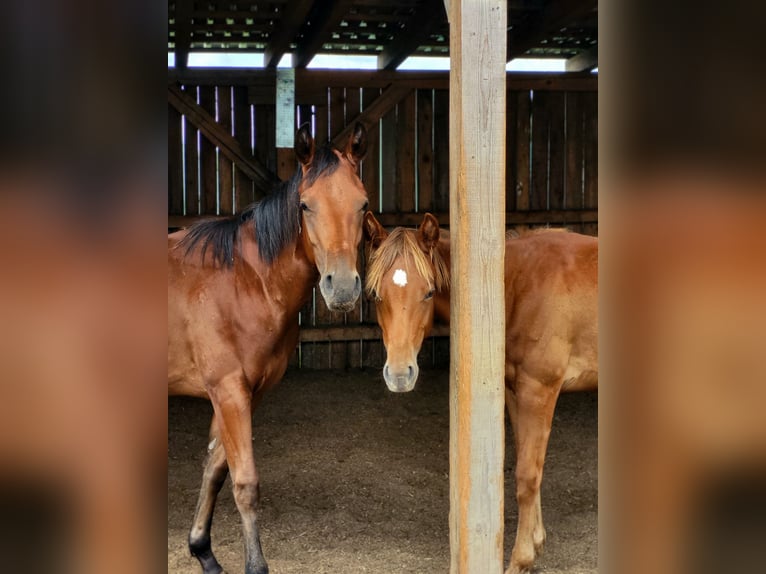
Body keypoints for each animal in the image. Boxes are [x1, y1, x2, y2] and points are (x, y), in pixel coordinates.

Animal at [168, 123, 368, 574]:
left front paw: (203, 550)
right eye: (306, 206)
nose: (342, 289)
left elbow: (215, 469)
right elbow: (245, 482)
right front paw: (255, 565)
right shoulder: (228, 392)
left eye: (363, 205)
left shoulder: (246, 395)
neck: (245, 281)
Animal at [363, 211, 598, 574]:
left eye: (428, 293)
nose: (400, 375)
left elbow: (528, 475)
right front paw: (535, 543)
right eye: (376, 294)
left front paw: (520, 559)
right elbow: (527, 464)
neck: (516, 284)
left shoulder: (539, 391)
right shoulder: (515, 392)